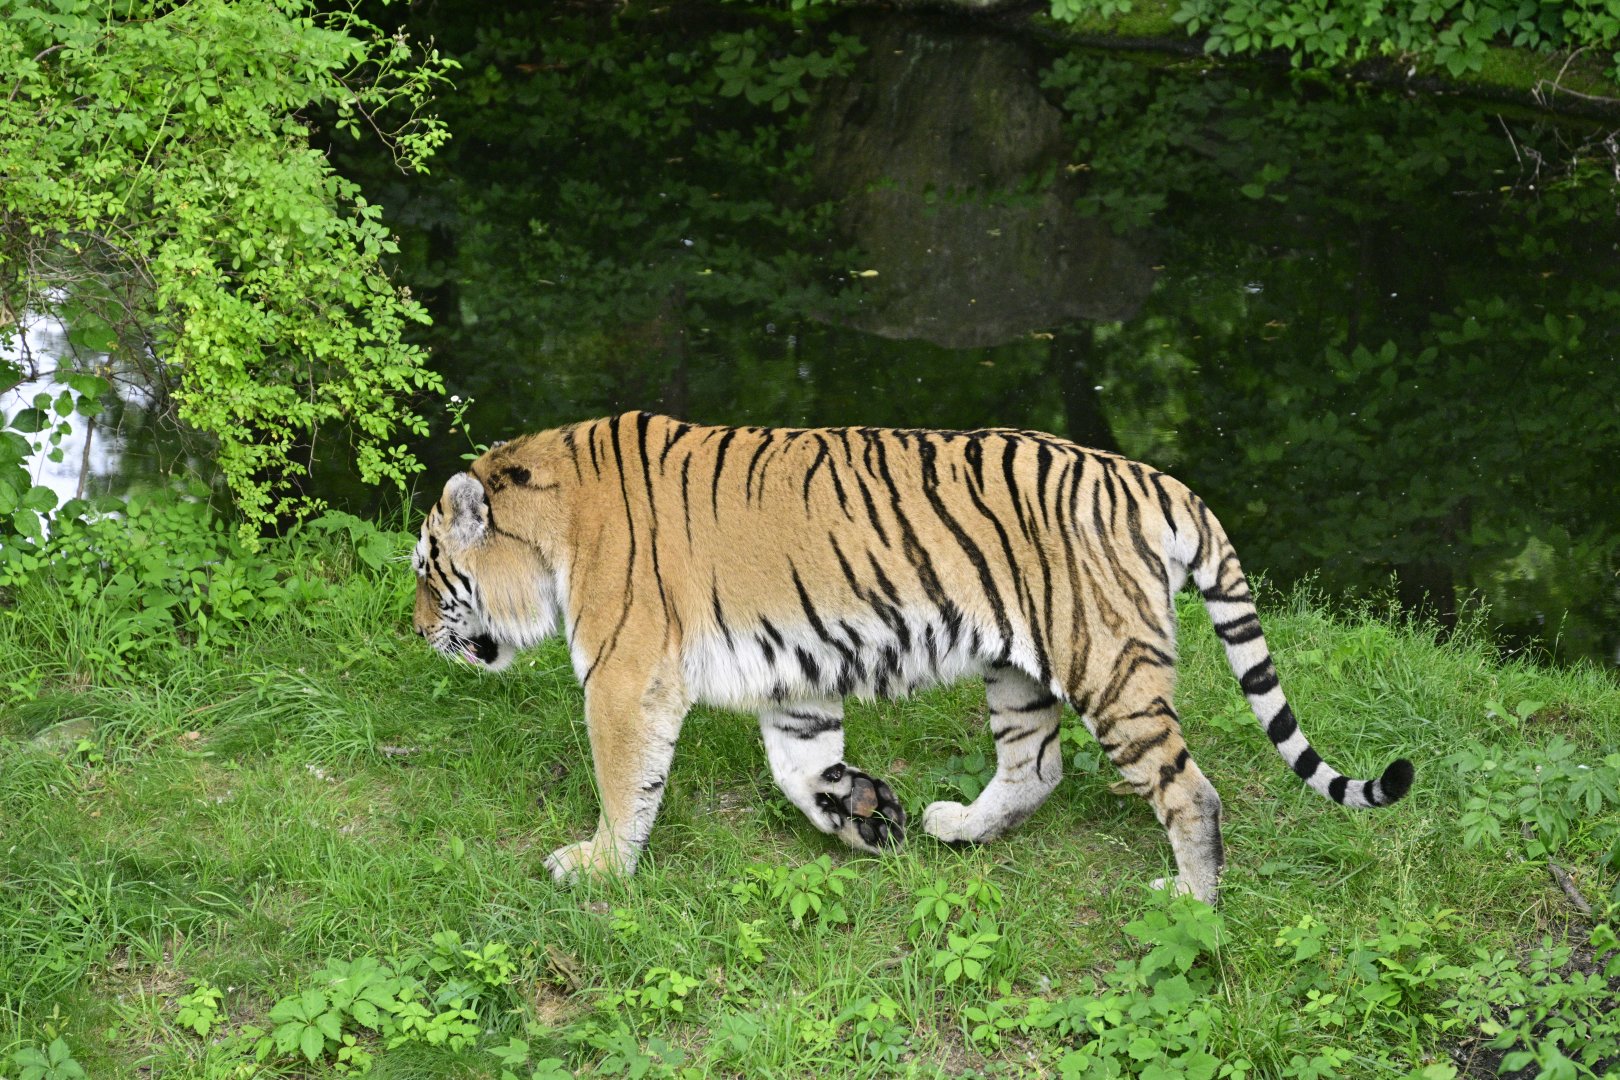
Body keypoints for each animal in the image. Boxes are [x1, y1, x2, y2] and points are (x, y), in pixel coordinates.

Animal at [412, 412, 1414, 903]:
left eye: (427, 570)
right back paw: (955, 826)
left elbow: (626, 782)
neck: (551, 528)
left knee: (1191, 791)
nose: (416, 631)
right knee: (1037, 768)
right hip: (1019, 671)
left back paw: (1191, 903)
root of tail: (1154, 477)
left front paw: (597, 869)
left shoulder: (626, 676)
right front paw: (862, 814)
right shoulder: (795, 675)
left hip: (1108, 667)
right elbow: (799, 767)